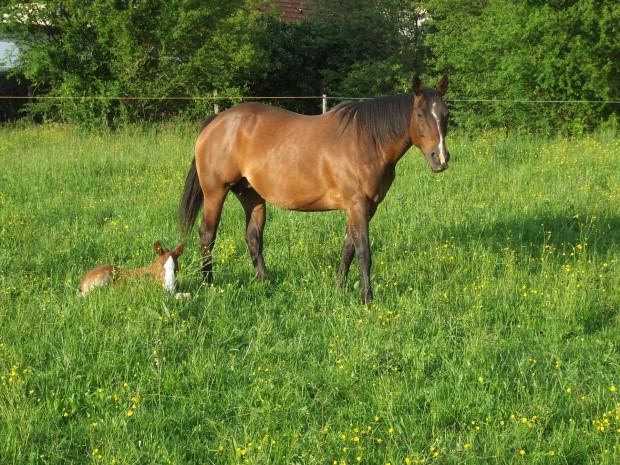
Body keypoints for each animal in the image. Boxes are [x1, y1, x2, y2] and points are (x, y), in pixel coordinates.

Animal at [179, 74, 450, 302]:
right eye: (420, 114)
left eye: (445, 114)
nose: (441, 158)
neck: (365, 141)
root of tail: (217, 120)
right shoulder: (357, 205)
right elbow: (363, 252)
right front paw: (367, 298)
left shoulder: (366, 207)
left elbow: (348, 249)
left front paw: (339, 287)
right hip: (215, 192)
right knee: (207, 235)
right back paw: (209, 283)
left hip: (251, 195)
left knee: (253, 237)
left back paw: (264, 282)